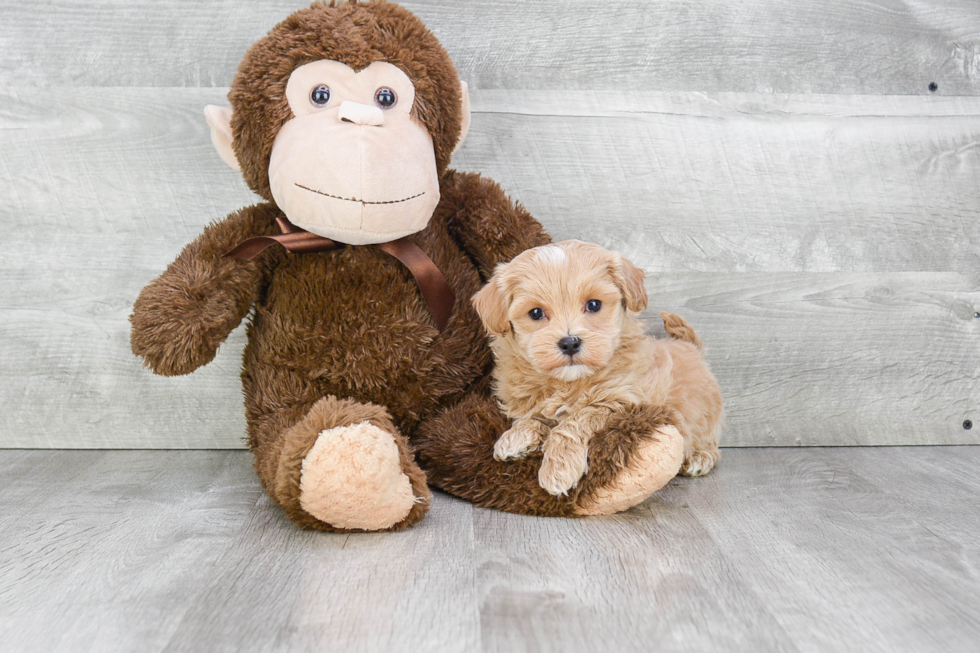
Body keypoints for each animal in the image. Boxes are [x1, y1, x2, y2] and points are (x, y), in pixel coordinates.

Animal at [470, 239, 724, 494]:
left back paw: (700, 458)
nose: (570, 342)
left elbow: (576, 419)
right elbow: (535, 418)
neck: (568, 382)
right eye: (535, 313)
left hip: (703, 417)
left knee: (709, 442)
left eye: (593, 305)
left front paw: (559, 467)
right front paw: (515, 438)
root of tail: (693, 348)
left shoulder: (621, 401)